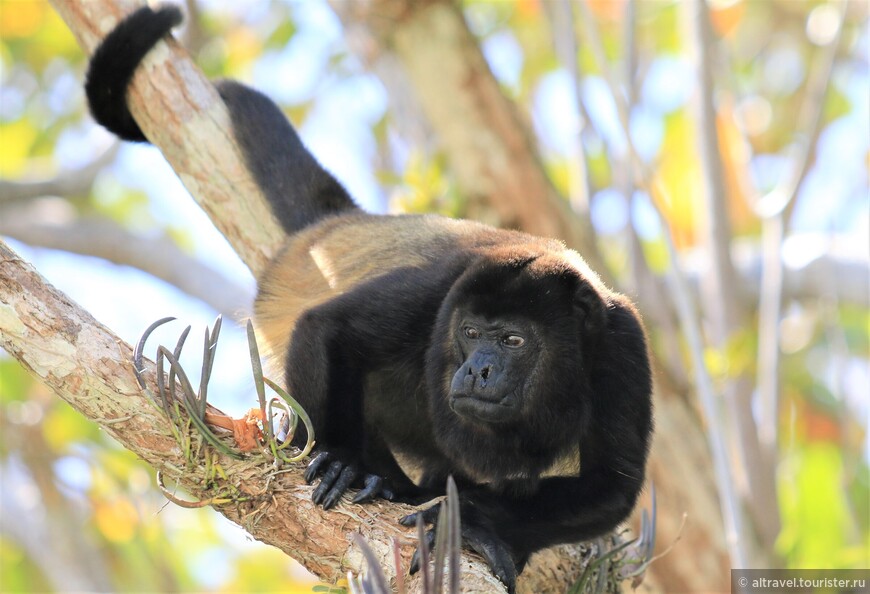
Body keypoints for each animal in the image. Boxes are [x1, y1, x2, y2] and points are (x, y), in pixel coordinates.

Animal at [87, 5, 656, 592]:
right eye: (471, 331)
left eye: (514, 341)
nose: (476, 368)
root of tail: (335, 227)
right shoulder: (442, 286)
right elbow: (331, 328)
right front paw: (344, 461)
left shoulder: (621, 344)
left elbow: (609, 486)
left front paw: (476, 522)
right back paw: (381, 478)